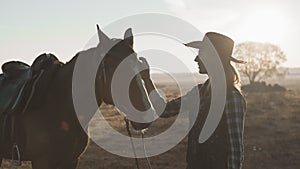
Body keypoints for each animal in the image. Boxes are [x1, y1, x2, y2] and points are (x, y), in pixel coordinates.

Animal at [0, 25, 155, 168]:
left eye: (140, 65)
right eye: (112, 67)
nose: (146, 117)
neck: (60, 106)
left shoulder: (72, 160)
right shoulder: (42, 161)